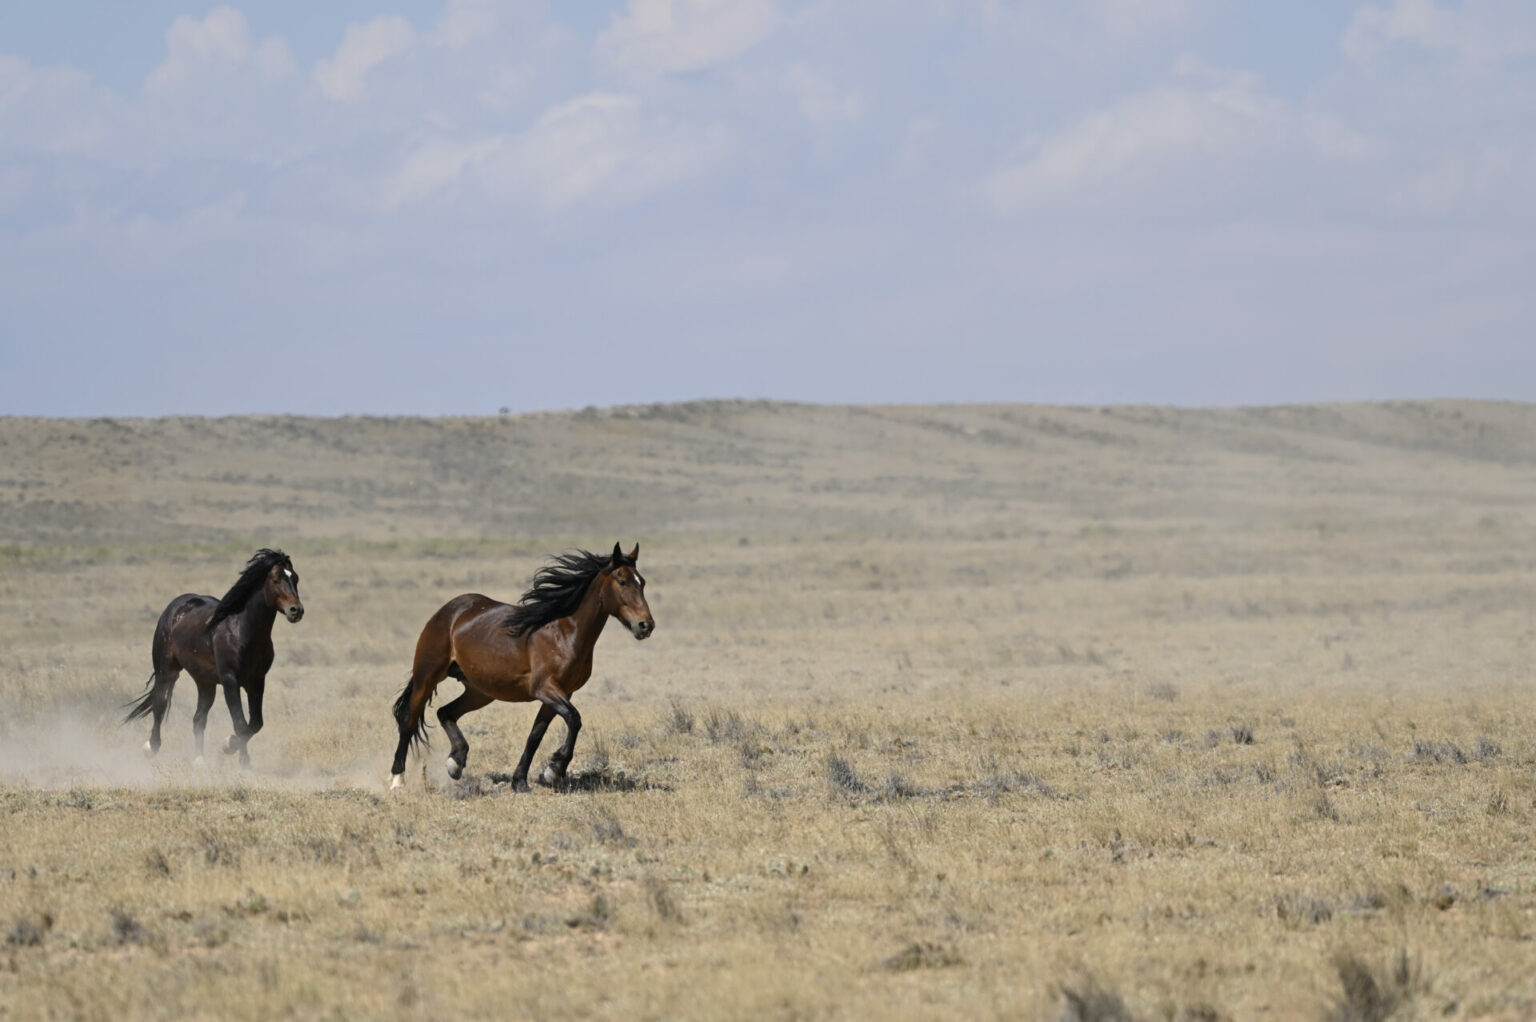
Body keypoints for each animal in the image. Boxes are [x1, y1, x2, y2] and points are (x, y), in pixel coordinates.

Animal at [124, 549, 304, 765]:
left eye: (295, 578)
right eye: (276, 579)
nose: (296, 610)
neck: (243, 631)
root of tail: (176, 605)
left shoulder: (256, 681)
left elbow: (255, 724)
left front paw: (239, 755)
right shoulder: (229, 680)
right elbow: (241, 723)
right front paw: (233, 750)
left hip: (205, 682)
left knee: (198, 718)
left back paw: (199, 760)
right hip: (167, 670)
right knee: (160, 704)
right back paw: (151, 747)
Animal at [389, 542, 654, 792]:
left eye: (642, 582)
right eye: (622, 581)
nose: (646, 625)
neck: (564, 633)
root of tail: (448, 610)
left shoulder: (563, 693)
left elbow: (536, 735)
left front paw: (522, 781)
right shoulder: (544, 688)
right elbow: (574, 719)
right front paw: (554, 769)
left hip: (480, 691)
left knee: (445, 712)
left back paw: (456, 762)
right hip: (427, 677)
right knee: (409, 721)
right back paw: (397, 780)